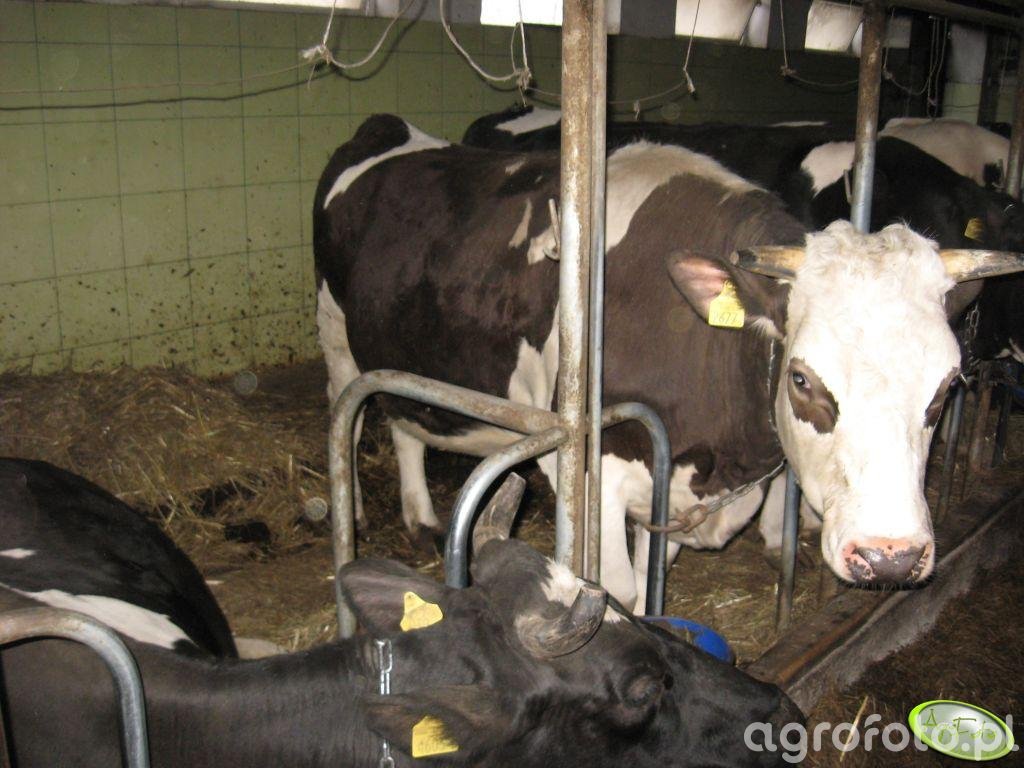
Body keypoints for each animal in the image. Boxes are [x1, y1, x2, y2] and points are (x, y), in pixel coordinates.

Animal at [314, 115, 1021, 612]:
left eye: (944, 389)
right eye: (801, 381)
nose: (892, 558)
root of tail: (387, 128)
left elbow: (660, 565)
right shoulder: (593, 465)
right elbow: (620, 592)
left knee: (406, 419)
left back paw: (422, 519)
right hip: (337, 338)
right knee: (356, 410)